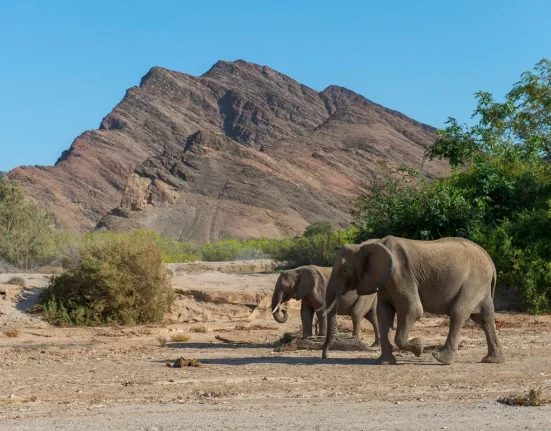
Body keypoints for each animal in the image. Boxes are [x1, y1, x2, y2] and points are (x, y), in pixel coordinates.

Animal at [322, 236, 506, 364]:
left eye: (344, 270)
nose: (324, 357)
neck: (368, 245)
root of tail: (491, 263)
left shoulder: (400, 275)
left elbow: (413, 310)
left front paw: (419, 347)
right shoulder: (385, 282)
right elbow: (384, 314)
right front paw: (384, 363)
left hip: (473, 282)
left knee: (458, 312)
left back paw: (440, 358)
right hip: (480, 286)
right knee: (484, 318)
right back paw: (492, 360)